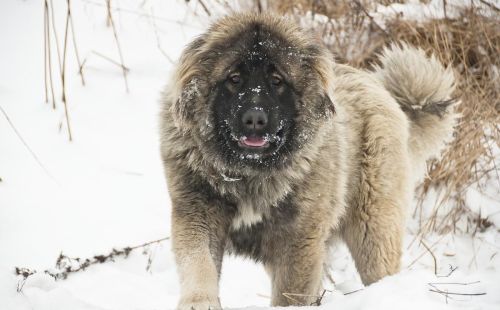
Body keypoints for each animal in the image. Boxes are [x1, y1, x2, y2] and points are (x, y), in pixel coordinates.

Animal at [160, 12, 458, 310]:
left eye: (277, 81)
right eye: (234, 78)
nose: (255, 118)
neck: (250, 174)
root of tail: (380, 89)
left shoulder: (299, 240)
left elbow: (290, 293)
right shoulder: (198, 214)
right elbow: (199, 265)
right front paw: (200, 302)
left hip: (372, 231)